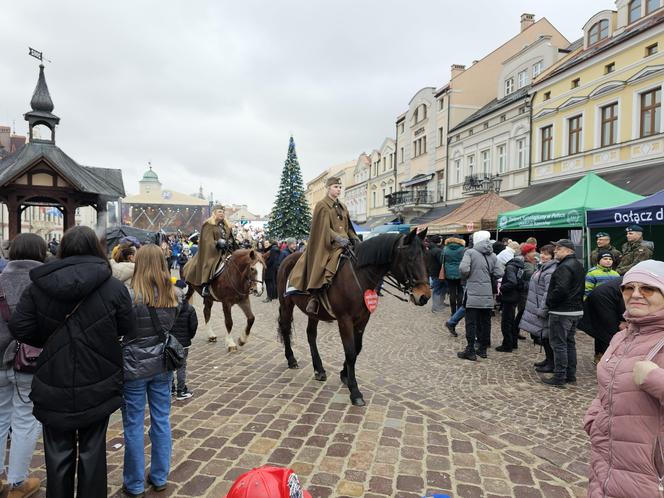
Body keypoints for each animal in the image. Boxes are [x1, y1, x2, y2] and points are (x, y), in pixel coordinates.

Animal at [274, 229, 430, 404]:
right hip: (286, 304)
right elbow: (350, 352)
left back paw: (319, 369)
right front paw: (355, 391)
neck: (360, 276)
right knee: (285, 328)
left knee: (311, 335)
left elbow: (357, 348)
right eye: (410, 259)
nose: (424, 296)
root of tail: (288, 258)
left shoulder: (363, 320)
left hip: (313, 313)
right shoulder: (345, 321)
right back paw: (291, 359)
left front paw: (344, 374)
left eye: (426, 256)